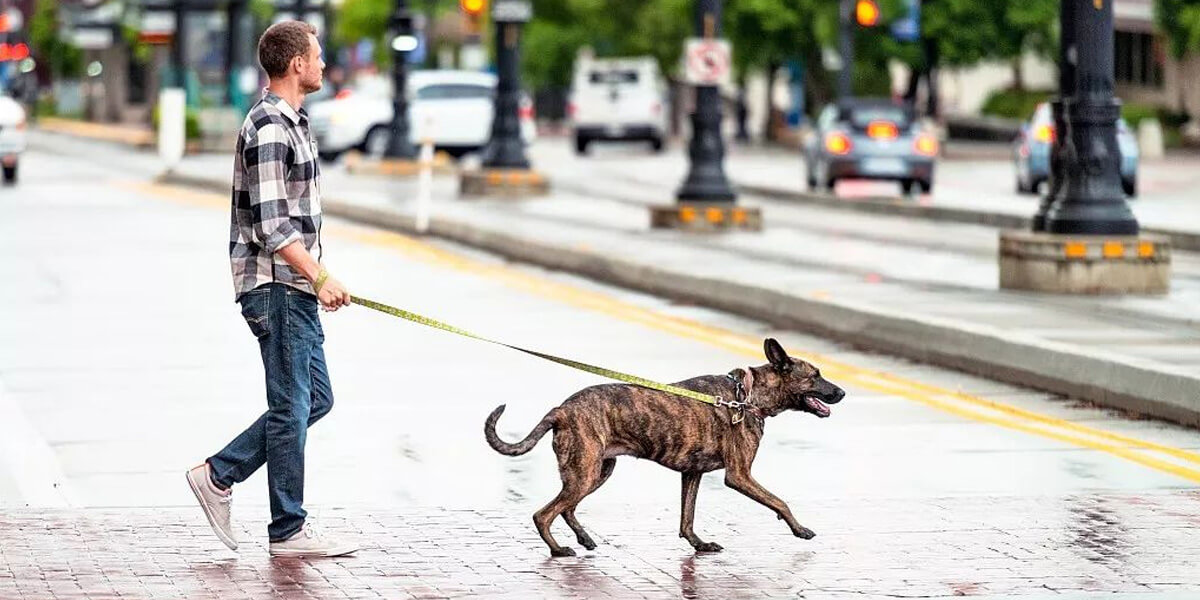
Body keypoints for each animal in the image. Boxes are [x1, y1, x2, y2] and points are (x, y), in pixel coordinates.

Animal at [482, 338, 849, 556]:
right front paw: (800, 529)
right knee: (544, 514)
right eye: (815, 375)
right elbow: (780, 502)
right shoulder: (739, 475)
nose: (843, 392)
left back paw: (583, 538)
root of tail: (561, 409)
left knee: (567, 507)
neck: (746, 396)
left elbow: (687, 518)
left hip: (596, 471)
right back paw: (559, 550)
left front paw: (698, 545)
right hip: (585, 472)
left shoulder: (692, 474)